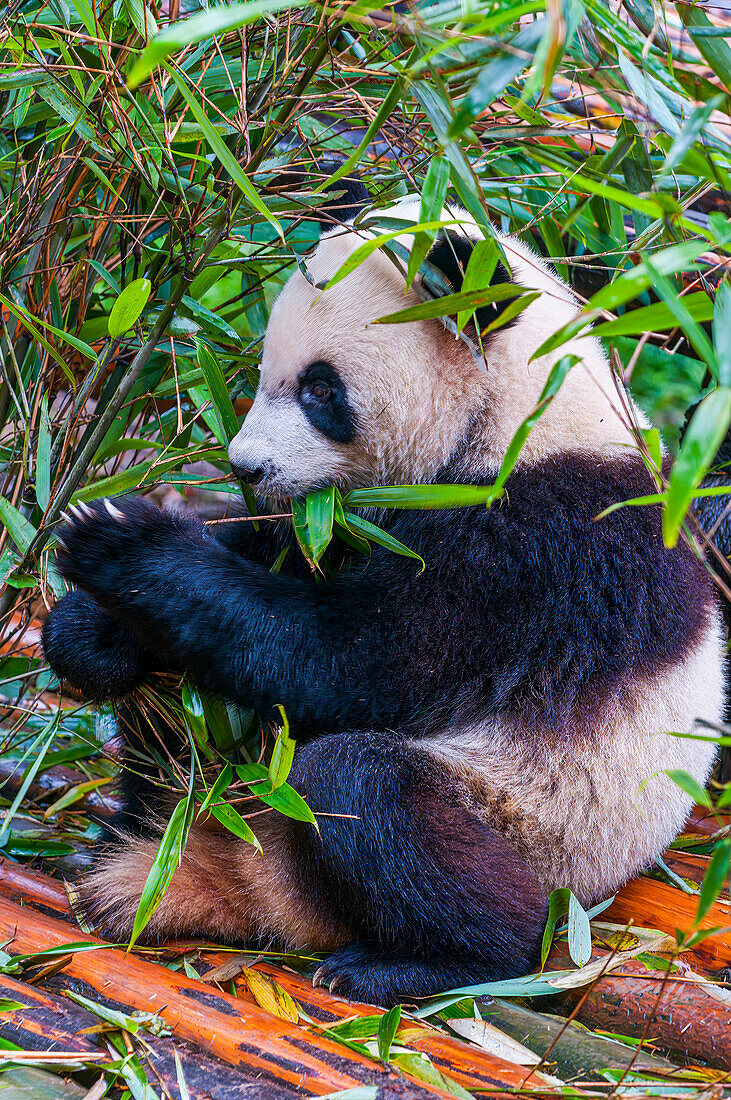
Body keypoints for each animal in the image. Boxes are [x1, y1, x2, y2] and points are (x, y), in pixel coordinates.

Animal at [42, 191, 721, 1007]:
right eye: (266, 372)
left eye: (320, 390)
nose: (246, 467)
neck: (520, 409)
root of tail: (262, 879)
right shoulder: (347, 519)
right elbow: (282, 560)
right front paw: (88, 630)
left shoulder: (547, 545)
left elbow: (364, 660)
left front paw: (121, 544)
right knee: (180, 717)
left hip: (537, 822)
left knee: (371, 790)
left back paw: (425, 960)